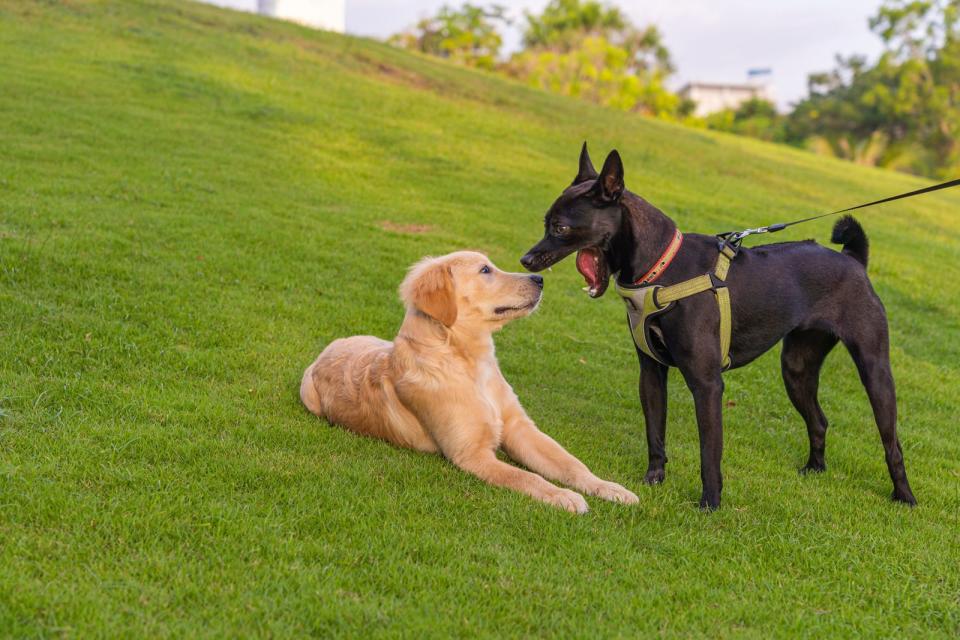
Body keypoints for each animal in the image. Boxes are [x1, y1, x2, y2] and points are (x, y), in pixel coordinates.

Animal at [302, 252, 636, 512]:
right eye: (485, 270)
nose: (539, 279)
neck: (469, 363)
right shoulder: (472, 454)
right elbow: (526, 477)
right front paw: (562, 496)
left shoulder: (520, 429)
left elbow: (571, 464)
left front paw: (608, 487)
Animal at [520, 145, 920, 510]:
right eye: (545, 222)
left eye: (560, 227)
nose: (526, 259)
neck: (662, 267)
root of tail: (854, 260)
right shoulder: (651, 373)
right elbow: (655, 434)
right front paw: (654, 480)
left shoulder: (707, 383)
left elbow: (709, 451)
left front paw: (710, 503)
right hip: (797, 369)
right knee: (819, 421)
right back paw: (814, 469)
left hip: (875, 371)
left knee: (893, 444)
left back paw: (904, 496)